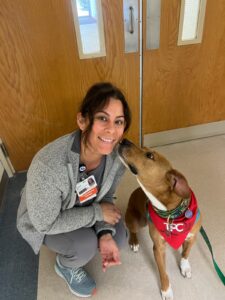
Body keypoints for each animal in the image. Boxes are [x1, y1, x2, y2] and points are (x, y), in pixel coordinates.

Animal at [118, 139, 202, 300]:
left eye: (149, 155)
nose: (123, 140)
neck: (171, 213)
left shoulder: (192, 237)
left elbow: (185, 253)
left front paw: (185, 267)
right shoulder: (158, 248)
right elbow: (163, 273)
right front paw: (166, 290)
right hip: (136, 220)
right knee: (132, 230)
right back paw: (134, 242)